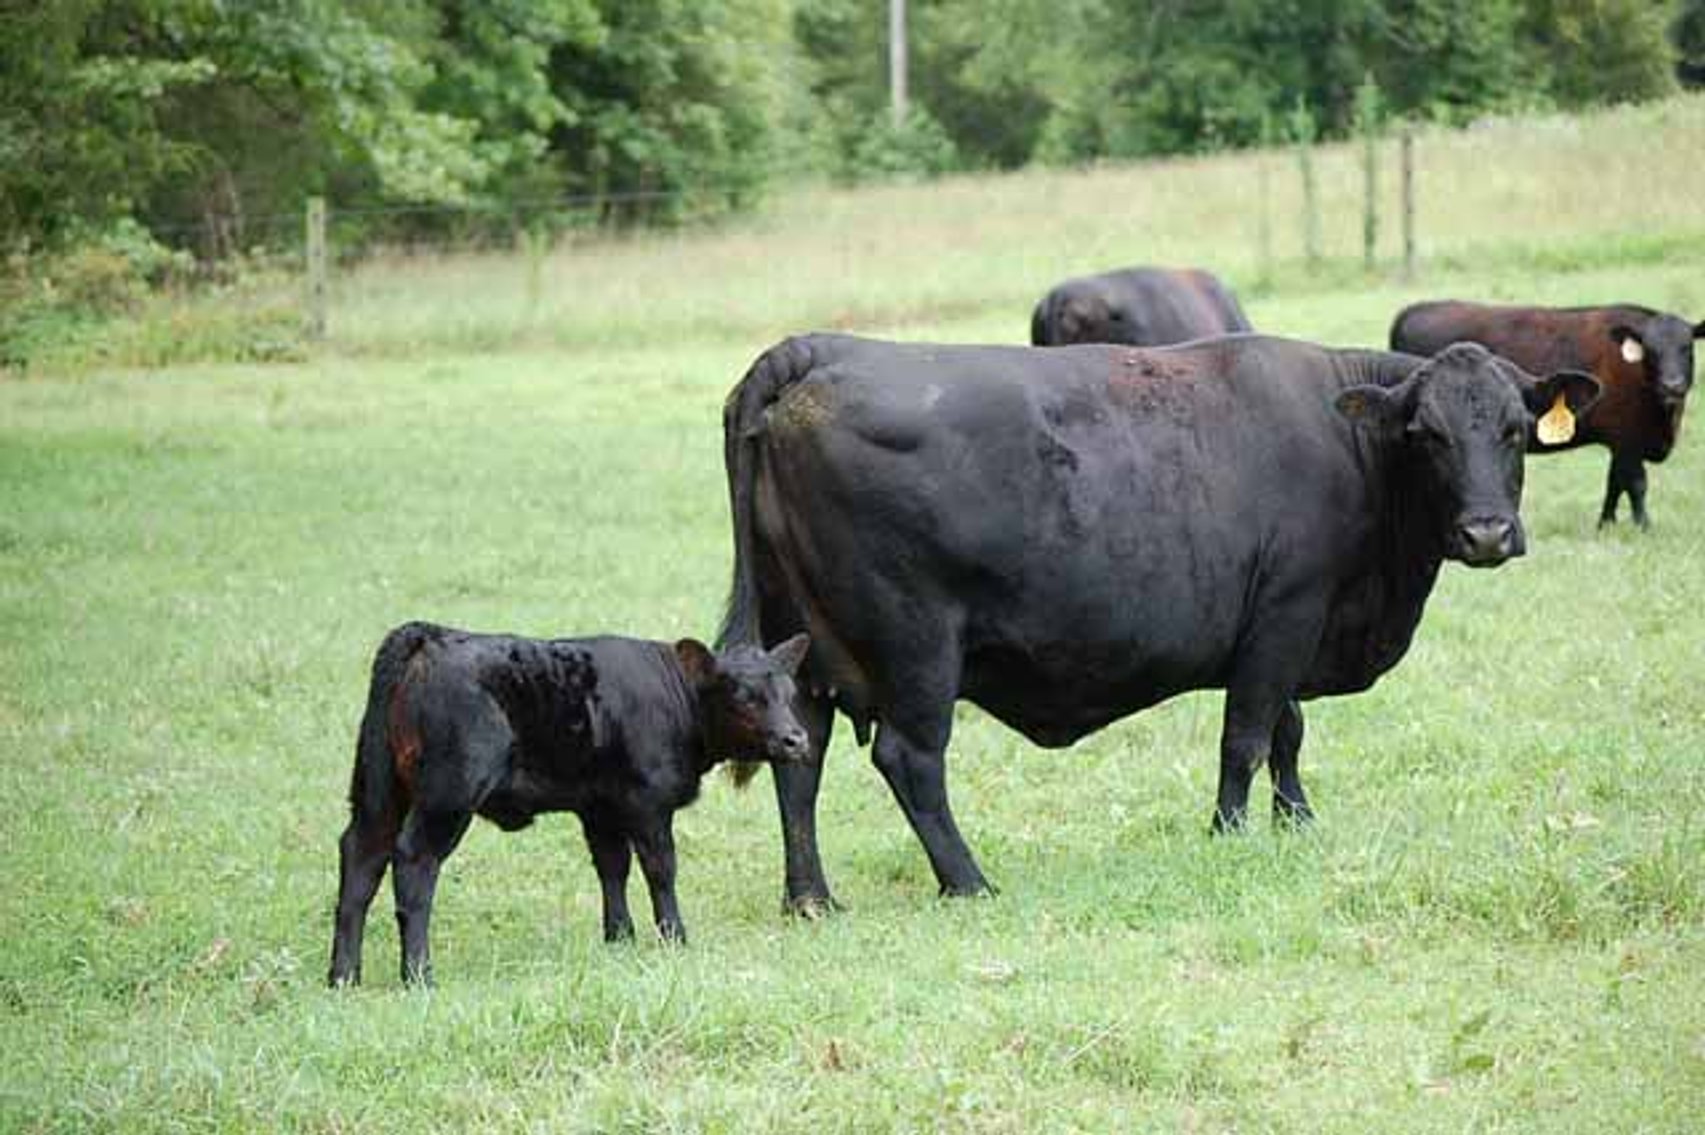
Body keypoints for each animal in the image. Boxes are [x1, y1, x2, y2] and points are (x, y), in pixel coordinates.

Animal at [328, 621, 811, 986]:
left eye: (789, 694)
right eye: (744, 696)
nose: (797, 739)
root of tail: (428, 637)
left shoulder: (600, 807)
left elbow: (612, 868)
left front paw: (620, 938)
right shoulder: (648, 804)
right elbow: (660, 869)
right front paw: (675, 938)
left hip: (379, 791)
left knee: (361, 858)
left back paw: (344, 976)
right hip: (448, 794)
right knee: (414, 862)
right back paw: (418, 975)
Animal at [717, 333, 1598, 910]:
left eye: (1514, 430)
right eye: (1426, 434)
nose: (1485, 533)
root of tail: (818, 349)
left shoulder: (1289, 627)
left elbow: (1287, 731)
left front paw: (1296, 821)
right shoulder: (1285, 611)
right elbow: (1246, 737)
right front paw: (1230, 834)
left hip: (802, 651)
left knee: (800, 759)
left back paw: (811, 897)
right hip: (917, 646)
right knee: (909, 759)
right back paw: (969, 881)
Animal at [1390, 301, 1702, 528]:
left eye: (1687, 348)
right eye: (1651, 351)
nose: (1672, 384)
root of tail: (1414, 310)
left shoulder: (1622, 443)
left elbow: (1615, 483)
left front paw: (1606, 523)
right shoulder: (1626, 439)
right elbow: (1635, 484)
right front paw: (1642, 526)